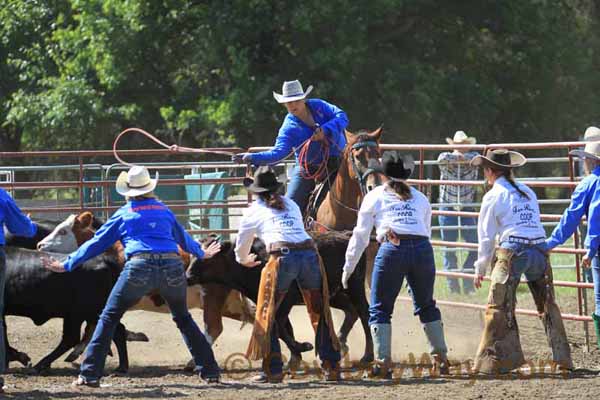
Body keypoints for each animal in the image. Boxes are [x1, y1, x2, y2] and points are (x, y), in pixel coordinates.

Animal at [190, 231, 372, 366]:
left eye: (209, 257)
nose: (188, 275)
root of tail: (346, 235)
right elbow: (284, 328)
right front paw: (295, 356)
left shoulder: (286, 300)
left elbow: (279, 326)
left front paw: (302, 347)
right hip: (334, 293)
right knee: (351, 311)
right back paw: (340, 343)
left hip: (355, 285)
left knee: (364, 312)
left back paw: (367, 356)